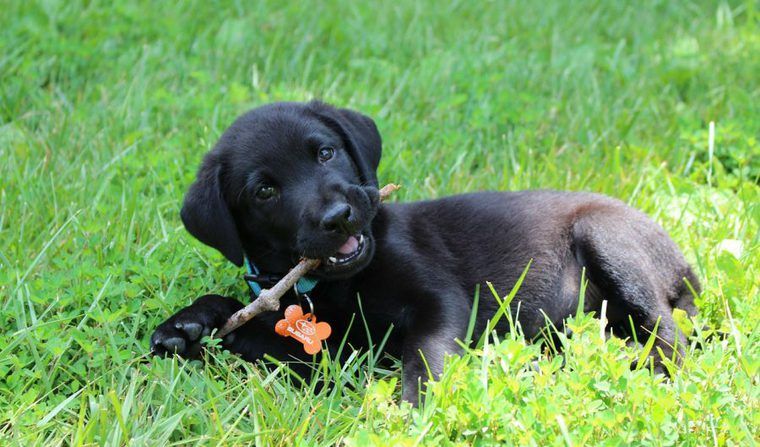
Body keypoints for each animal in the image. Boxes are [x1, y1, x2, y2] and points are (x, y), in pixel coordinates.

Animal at [153, 103, 700, 404]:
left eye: (325, 153)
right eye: (264, 191)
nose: (339, 216)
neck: (336, 286)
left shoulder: (442, 302)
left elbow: (425, 355)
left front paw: (413, 410)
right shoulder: (318, 353)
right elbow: (249, 328)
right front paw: (188, 323)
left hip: (609, 239)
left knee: (670, 337)